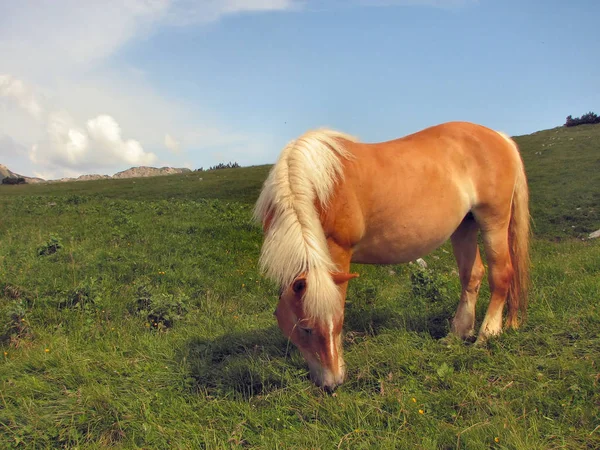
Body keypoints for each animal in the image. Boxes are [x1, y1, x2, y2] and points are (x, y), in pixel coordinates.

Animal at [253, 120, 528, 390]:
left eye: (338, 321)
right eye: (306, 328)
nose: (333, 384)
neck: (313, 185)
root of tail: (500, 137)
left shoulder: (338, 252)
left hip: (494, 222)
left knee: (501, 274)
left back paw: (487, 334)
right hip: (464, 226)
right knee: (472, 276)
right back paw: (457, 334)